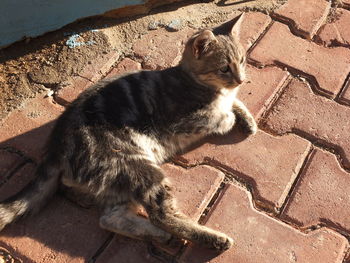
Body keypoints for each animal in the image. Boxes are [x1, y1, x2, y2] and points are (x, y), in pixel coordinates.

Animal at [0, 13, 258, 253]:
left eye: (243, 60)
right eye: (224, 68)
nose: (241, 80)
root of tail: (56, 147)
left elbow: (236, 103)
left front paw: (248, 119)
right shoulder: (188, 120)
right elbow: (221, 116)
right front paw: (231, 117)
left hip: (117, 181)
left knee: (110, 218)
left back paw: (164, 237)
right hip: (138, 168)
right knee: (161, 215)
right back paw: (212, 239)